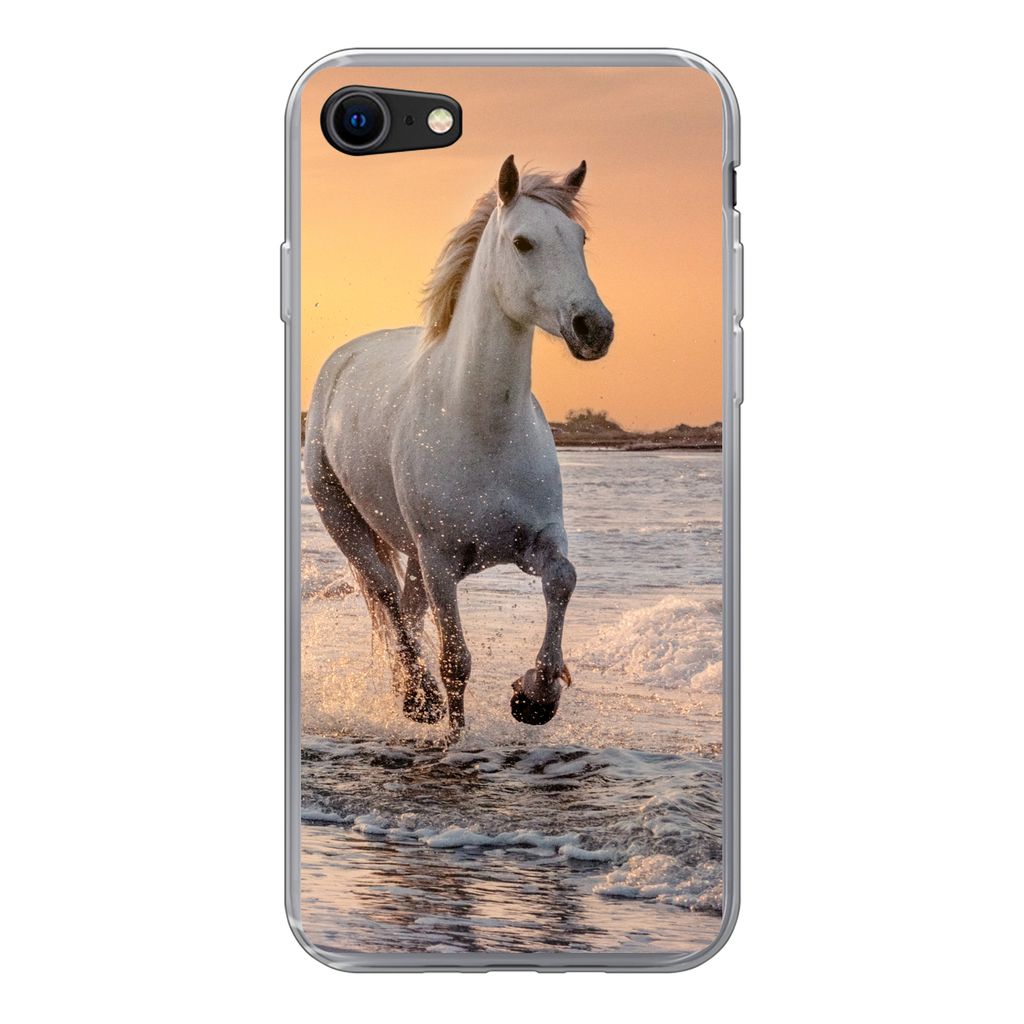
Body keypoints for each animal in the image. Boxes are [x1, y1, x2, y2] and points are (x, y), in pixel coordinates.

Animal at [305, 155, 614, 740]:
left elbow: (563, 580)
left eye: (581, 238)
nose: (595, 327)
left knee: (406, 607)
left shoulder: (538, 538)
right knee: (389, 602)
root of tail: (342, 360)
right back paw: (417, 698)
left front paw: (535, 696)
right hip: (352, 528)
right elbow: (455, 660)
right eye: (522, 242)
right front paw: (455, 735)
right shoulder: (441, 559)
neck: (481, 426)